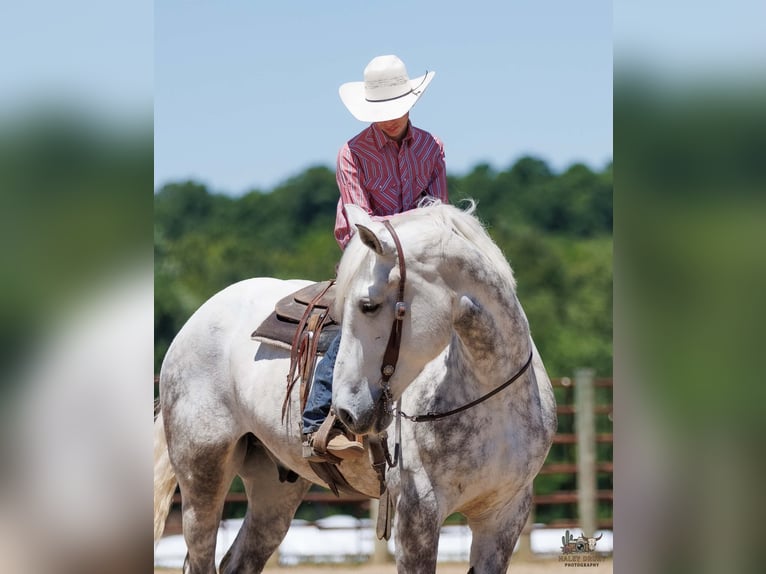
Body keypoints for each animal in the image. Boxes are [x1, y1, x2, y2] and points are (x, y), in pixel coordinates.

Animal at [153, 201, 557, 573]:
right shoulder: (417, 514)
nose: (346, 412)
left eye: (368, 305)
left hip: (275, 488)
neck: (489, 395)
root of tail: (200, 315)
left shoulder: (505, 516)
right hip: (202, 471)